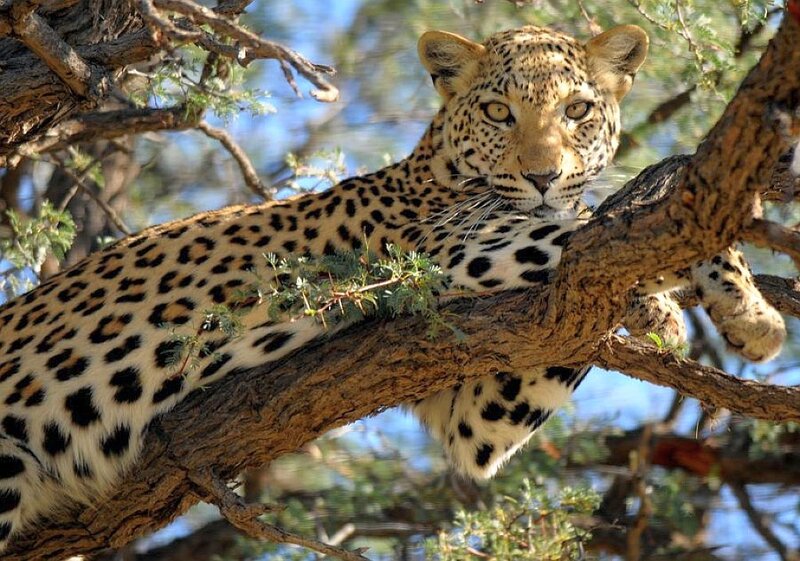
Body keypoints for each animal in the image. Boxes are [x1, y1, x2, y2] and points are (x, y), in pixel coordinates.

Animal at [0, 24, 785, 551]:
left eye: (578, 111)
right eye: (499, 113)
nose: (542, 175)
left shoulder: (476, 415)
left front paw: (719, 312)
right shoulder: (450, 251)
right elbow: (585, 230)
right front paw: (716, 307)